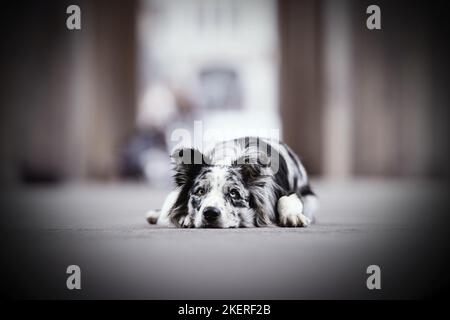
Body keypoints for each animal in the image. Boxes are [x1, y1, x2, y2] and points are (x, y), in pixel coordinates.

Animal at [146, 137, 318, 228]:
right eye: (200, 191)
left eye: (234, 193)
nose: (210, 213)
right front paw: (187, 217)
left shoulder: (299, 194)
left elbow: (287, 199)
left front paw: (292, 215)